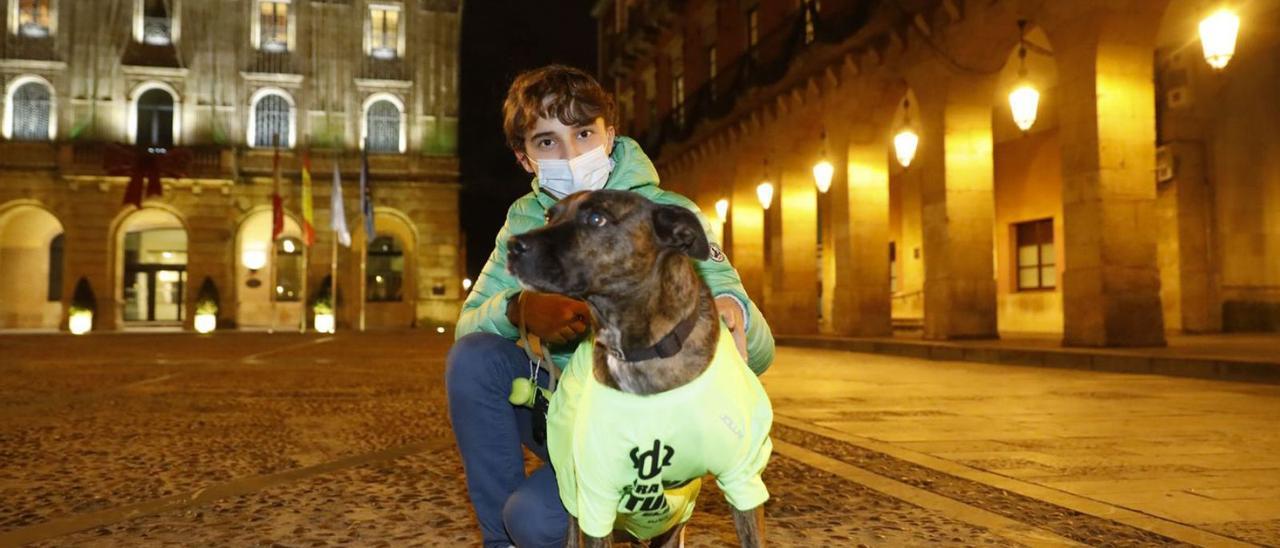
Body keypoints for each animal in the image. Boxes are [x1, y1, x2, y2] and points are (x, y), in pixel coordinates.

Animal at [506, 190, 768, 545]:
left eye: (597, 219)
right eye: (549, 216)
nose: (512, 245)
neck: (642, 352)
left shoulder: (743, 478)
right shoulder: (596, 495)